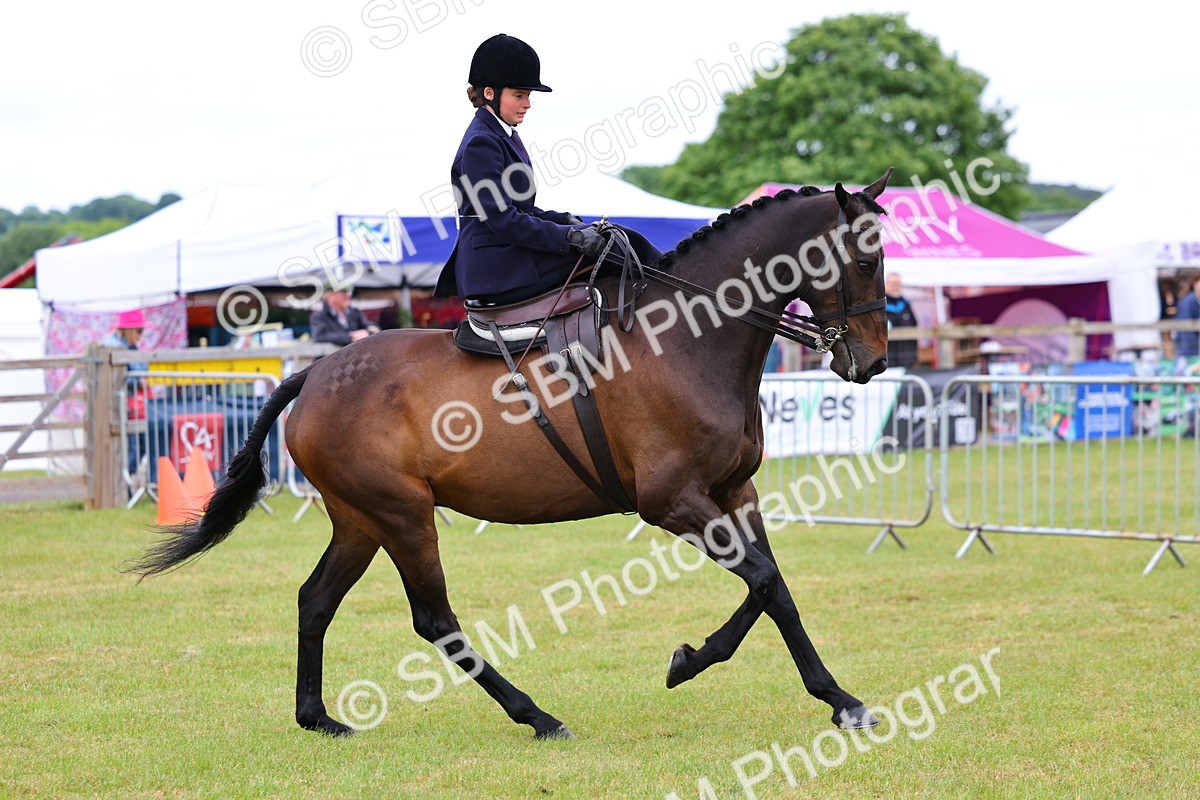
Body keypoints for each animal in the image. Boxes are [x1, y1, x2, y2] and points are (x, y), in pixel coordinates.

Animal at [129, 169, 894, 740]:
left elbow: (773, 588)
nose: (874, 363)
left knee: (315, 600)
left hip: (359, 520)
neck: (687, 340)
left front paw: (791, 685)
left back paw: (317, 718)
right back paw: (537, 715)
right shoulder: (672, 501)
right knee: (434, 620)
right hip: (403, 516)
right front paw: (746, 675)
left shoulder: (735, 493)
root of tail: (313, 374)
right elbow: (763, 581)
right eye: (865, 259)